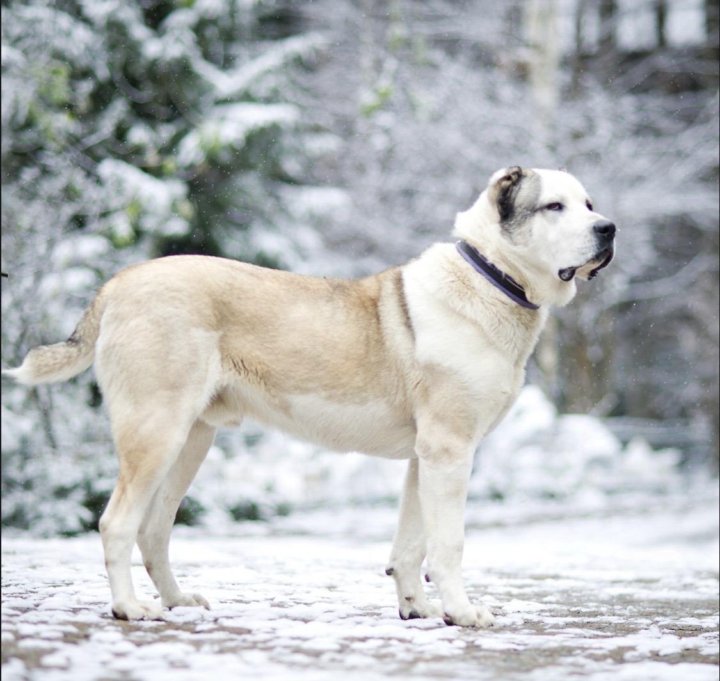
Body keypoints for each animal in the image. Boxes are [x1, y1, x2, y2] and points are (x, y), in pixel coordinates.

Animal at [5, 166, 612, 628]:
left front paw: (414, 608)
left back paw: (177, 601)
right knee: (117, 523)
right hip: (155, 432)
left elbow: (410, 543)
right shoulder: (449, 451)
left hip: (189, 442)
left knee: (154, 529)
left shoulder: (426, 458)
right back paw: (130, 608)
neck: (492, 277)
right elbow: (448, 544)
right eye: (554, 206)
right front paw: (462, 614)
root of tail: (120, 282)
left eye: (589, 203)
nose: (608, 228)